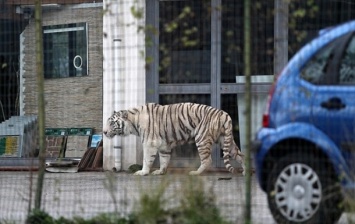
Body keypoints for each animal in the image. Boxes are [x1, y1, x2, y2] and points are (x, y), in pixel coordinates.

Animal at [103, 102, 245, 176]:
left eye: (112, 123)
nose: (104, 132)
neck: (133, 122)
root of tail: (224, 114)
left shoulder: (149, 143)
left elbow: (146, 159)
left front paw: (143, 172)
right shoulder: (164, 145)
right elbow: (164, 159)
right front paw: (160, 171)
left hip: (202, 138)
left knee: (207, 160)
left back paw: (196, 173)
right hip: (226, 140)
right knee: (241, 155)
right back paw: (245, 172)